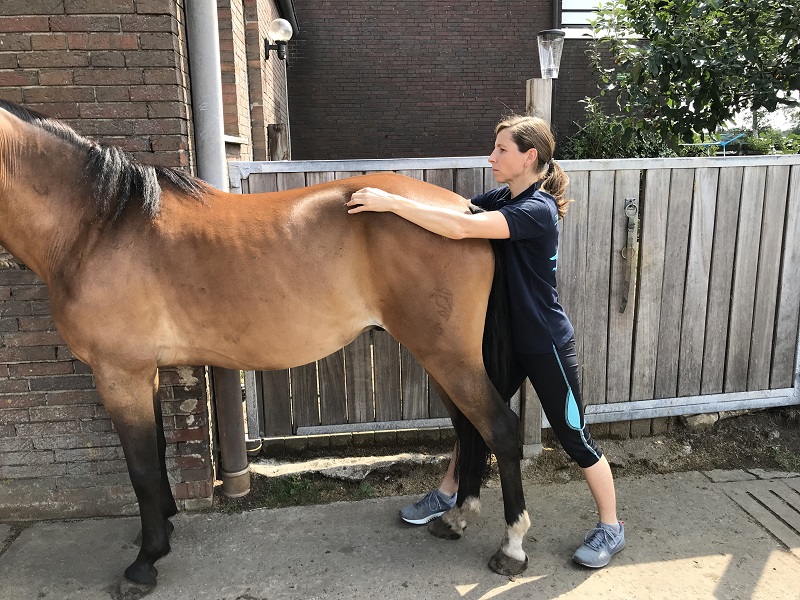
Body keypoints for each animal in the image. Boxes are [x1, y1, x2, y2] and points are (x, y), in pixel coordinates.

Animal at [0, 100, 529, 593]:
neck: (98, 227)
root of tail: (469, 212)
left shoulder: (118, 373)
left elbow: (143, 467)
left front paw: (145, 562)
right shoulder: (141, 372)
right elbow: (157, 448)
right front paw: (165, 527)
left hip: (448, 356)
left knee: (500, 429)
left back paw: (512, 548)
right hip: (441, 358)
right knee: (469, 432)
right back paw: (455, 519)